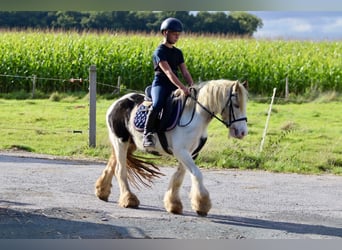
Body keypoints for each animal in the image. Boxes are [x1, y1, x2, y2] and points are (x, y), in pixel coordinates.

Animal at [95, 79, 247, 216]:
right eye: (235, 104)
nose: (242, 132)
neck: (195, 117)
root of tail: (117, 103)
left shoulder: (191, 153)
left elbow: (180, 177)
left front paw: (174, 204)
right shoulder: (181, 152)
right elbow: (197, 174)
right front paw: (202, 204)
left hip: (129, 144)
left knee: (112, 164)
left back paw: (102, 192)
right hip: (121, 141)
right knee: (120, 170)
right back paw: (129, 199)